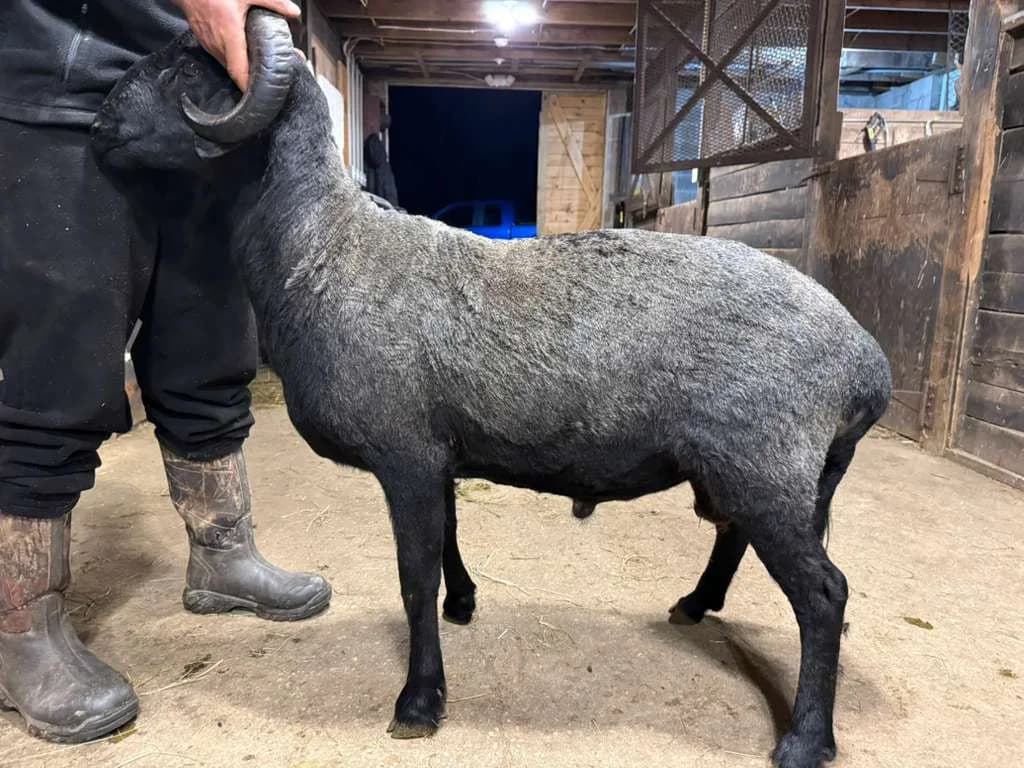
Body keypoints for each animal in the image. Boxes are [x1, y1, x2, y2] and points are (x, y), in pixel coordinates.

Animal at [91, 12, 892, 768]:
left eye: (184, 69)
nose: (97, 127)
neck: (322, 246)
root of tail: (867, 364)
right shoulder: (439, 452)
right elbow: (449, 537)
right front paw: (465, 603)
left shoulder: (406, 455)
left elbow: (413, 578)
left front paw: (419, 703)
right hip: (753, 473)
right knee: (738, 541)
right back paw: (696, 606)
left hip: (761, 466)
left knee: (825, 595)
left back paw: (805, 740)